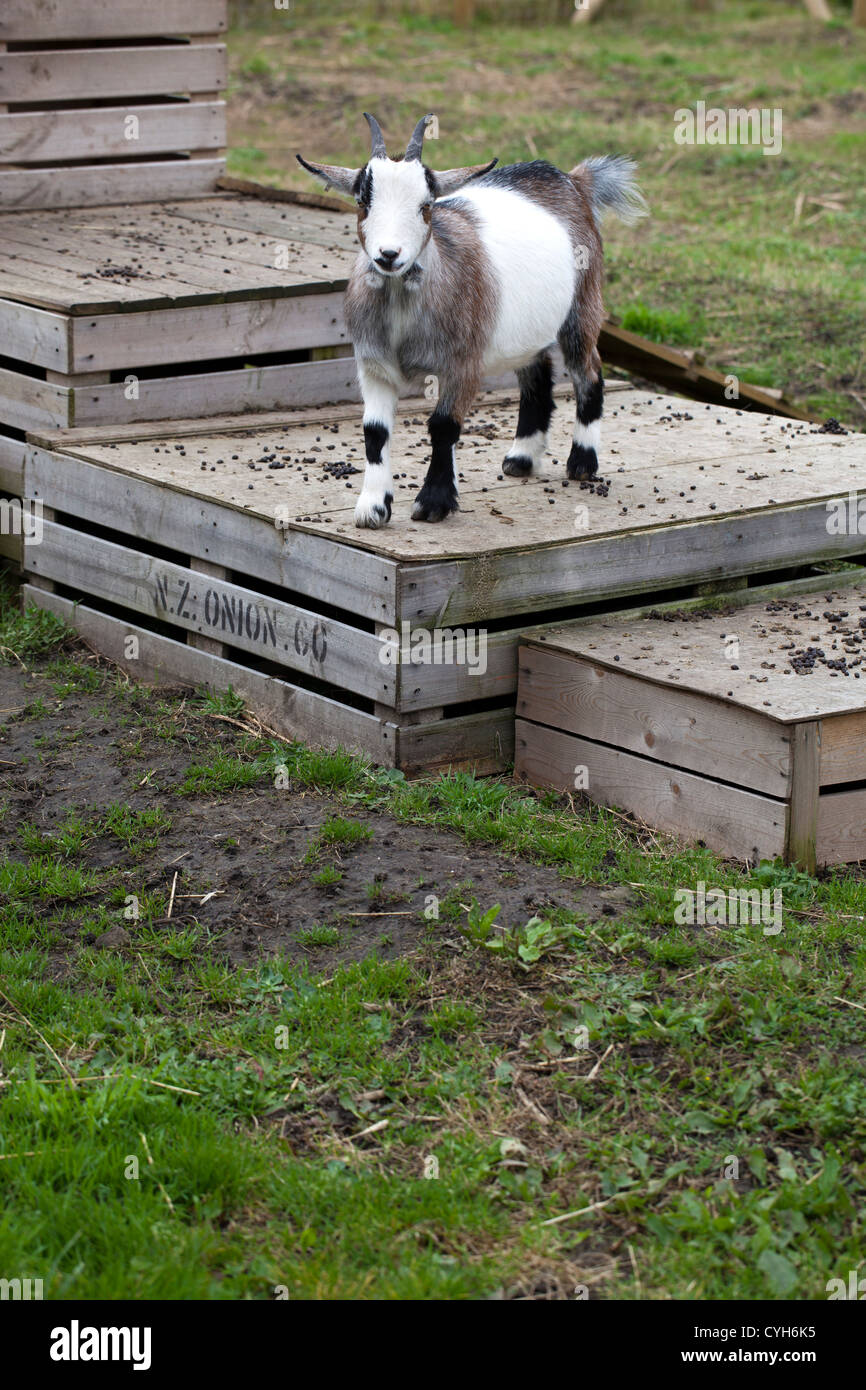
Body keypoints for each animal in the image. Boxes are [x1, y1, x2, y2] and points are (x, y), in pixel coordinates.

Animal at [297, 112, 644, 525]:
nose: (388, 254)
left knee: (588, 370)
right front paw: (373, 507)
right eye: (363, 201)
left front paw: (433, 502)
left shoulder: (462, 362)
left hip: (582, 306)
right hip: (524, 328)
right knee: (537, 374)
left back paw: (582, 462)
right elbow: (375, 431)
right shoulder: (374, 365)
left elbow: (443, 425)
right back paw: (521, 457)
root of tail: (572, 180)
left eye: (425, 206)